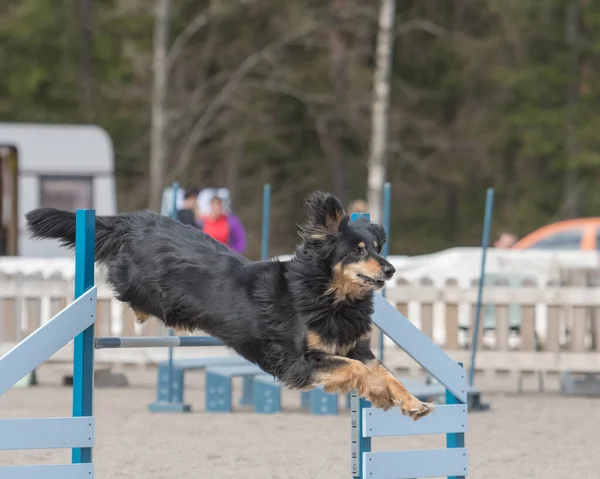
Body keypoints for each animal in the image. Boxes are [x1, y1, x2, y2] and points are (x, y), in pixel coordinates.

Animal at [25, 191, 434, 420]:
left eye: (378, 248)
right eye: (358, 250)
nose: (391, 269)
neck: (326, 295)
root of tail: (138, 221)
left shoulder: (355, 347)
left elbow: (384, 371)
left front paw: (411, 402)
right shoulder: (297, 360)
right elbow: (357, 370)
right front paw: (379, 395)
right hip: (142, 283)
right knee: (125, 287)